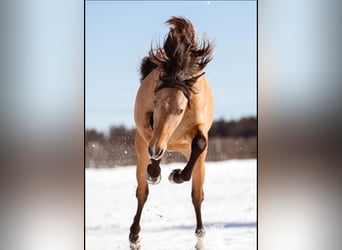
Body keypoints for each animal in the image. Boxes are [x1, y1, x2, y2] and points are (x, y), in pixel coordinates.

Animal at [129, 16, 214, 248]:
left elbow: (200, 143)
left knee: (197, 195)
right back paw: (134, 236)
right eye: (157, 101)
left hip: (197, 161)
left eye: (181, 109)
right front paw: (156, 173)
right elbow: (152, 142)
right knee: (142, 193)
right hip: (140, 151)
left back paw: (200, 236)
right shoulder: (149, 130)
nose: (156, 149)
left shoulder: (200, 133)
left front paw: (176, 175)